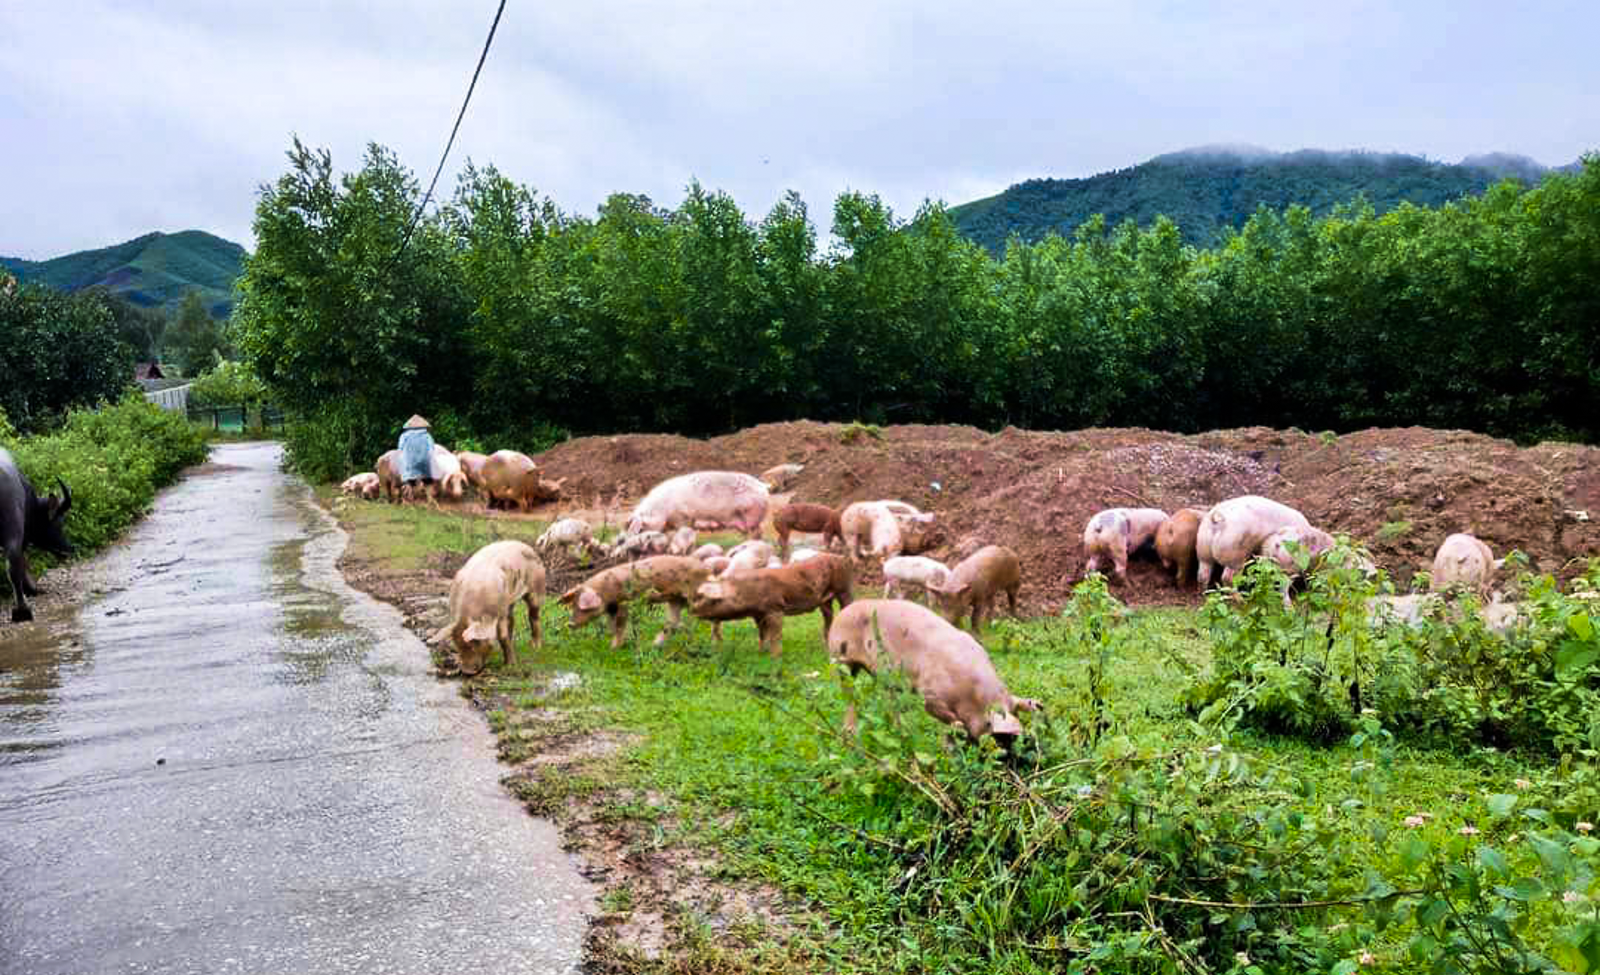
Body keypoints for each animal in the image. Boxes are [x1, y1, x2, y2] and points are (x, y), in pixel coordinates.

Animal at [0, 445, 73, 621]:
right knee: (13, 565)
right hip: (13, 527)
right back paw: (22, 610)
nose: (69, 549)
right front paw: (32, 589)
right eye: (59, 523)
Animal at [432, 541, 550, 675]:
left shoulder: (500, 610)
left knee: (534, 615)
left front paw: (509, 665)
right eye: (457, 645)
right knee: (512, 620)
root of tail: (527, 546)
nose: (467, 671)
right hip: (510, 601)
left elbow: (502, 636)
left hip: (537, 588)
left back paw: (535, 647)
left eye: (476, 642)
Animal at [691, 550, 857, 656]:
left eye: (711, 600)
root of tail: (842, 557)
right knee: (829, 617)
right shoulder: (757, 614)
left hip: (844, 588)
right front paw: (760, 652)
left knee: (848, 607)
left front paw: (775, 657)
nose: (693, 611)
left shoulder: (775, 608)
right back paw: (826, 647)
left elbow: (775, 635)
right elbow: (762, 633)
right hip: (825, 600)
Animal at [832, 601, 1043, 746]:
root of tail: (842, 612)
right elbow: (939, 713)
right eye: (1001, 740)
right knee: (848, 693)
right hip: (840, 659)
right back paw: (849, 736)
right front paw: (957, 728)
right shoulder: (929, 693)